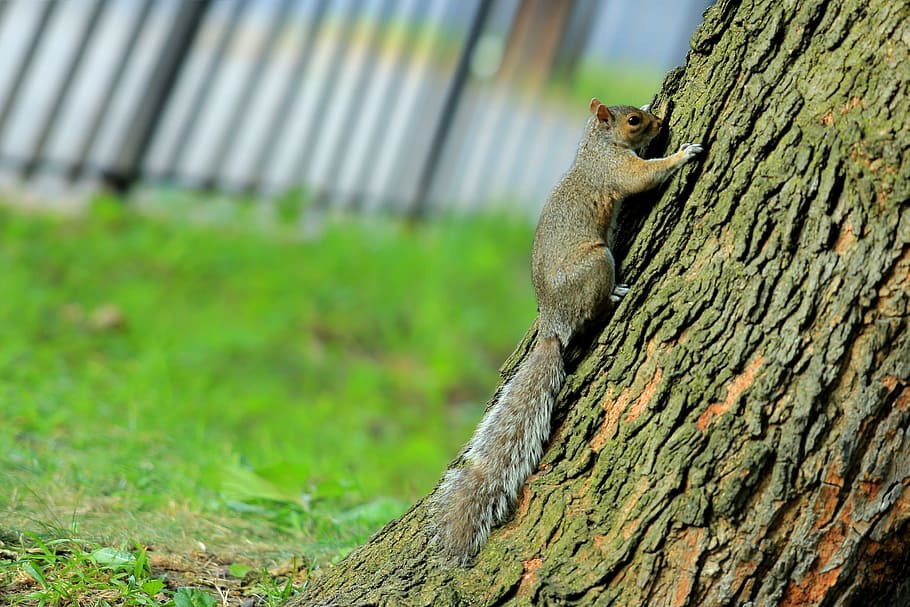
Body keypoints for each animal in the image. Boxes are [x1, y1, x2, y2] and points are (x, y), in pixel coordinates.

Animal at [431, 98, 704, 564]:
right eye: (634, 122)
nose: (658, 121)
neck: (596, 145)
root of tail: (553, 325)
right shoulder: (616, 171)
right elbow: (644, 177)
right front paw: (683, 153)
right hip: (597, 262)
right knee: (593, 311)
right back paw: (616, 296)